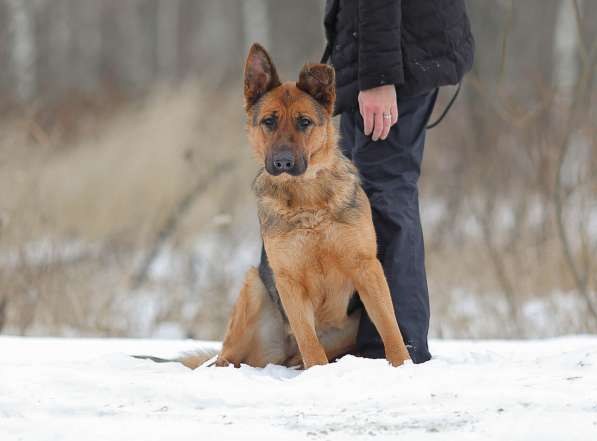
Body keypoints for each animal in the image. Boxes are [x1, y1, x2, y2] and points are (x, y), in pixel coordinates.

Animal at [208, 43, 410, 368]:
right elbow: (309, 342)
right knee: (226, 356)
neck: (307, 200)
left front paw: (404, 365)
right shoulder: (289, 282)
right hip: (254, 287)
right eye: (269, 122)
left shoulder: (367, 268)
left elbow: (390, 328)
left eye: (304, 122)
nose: (283, 163)